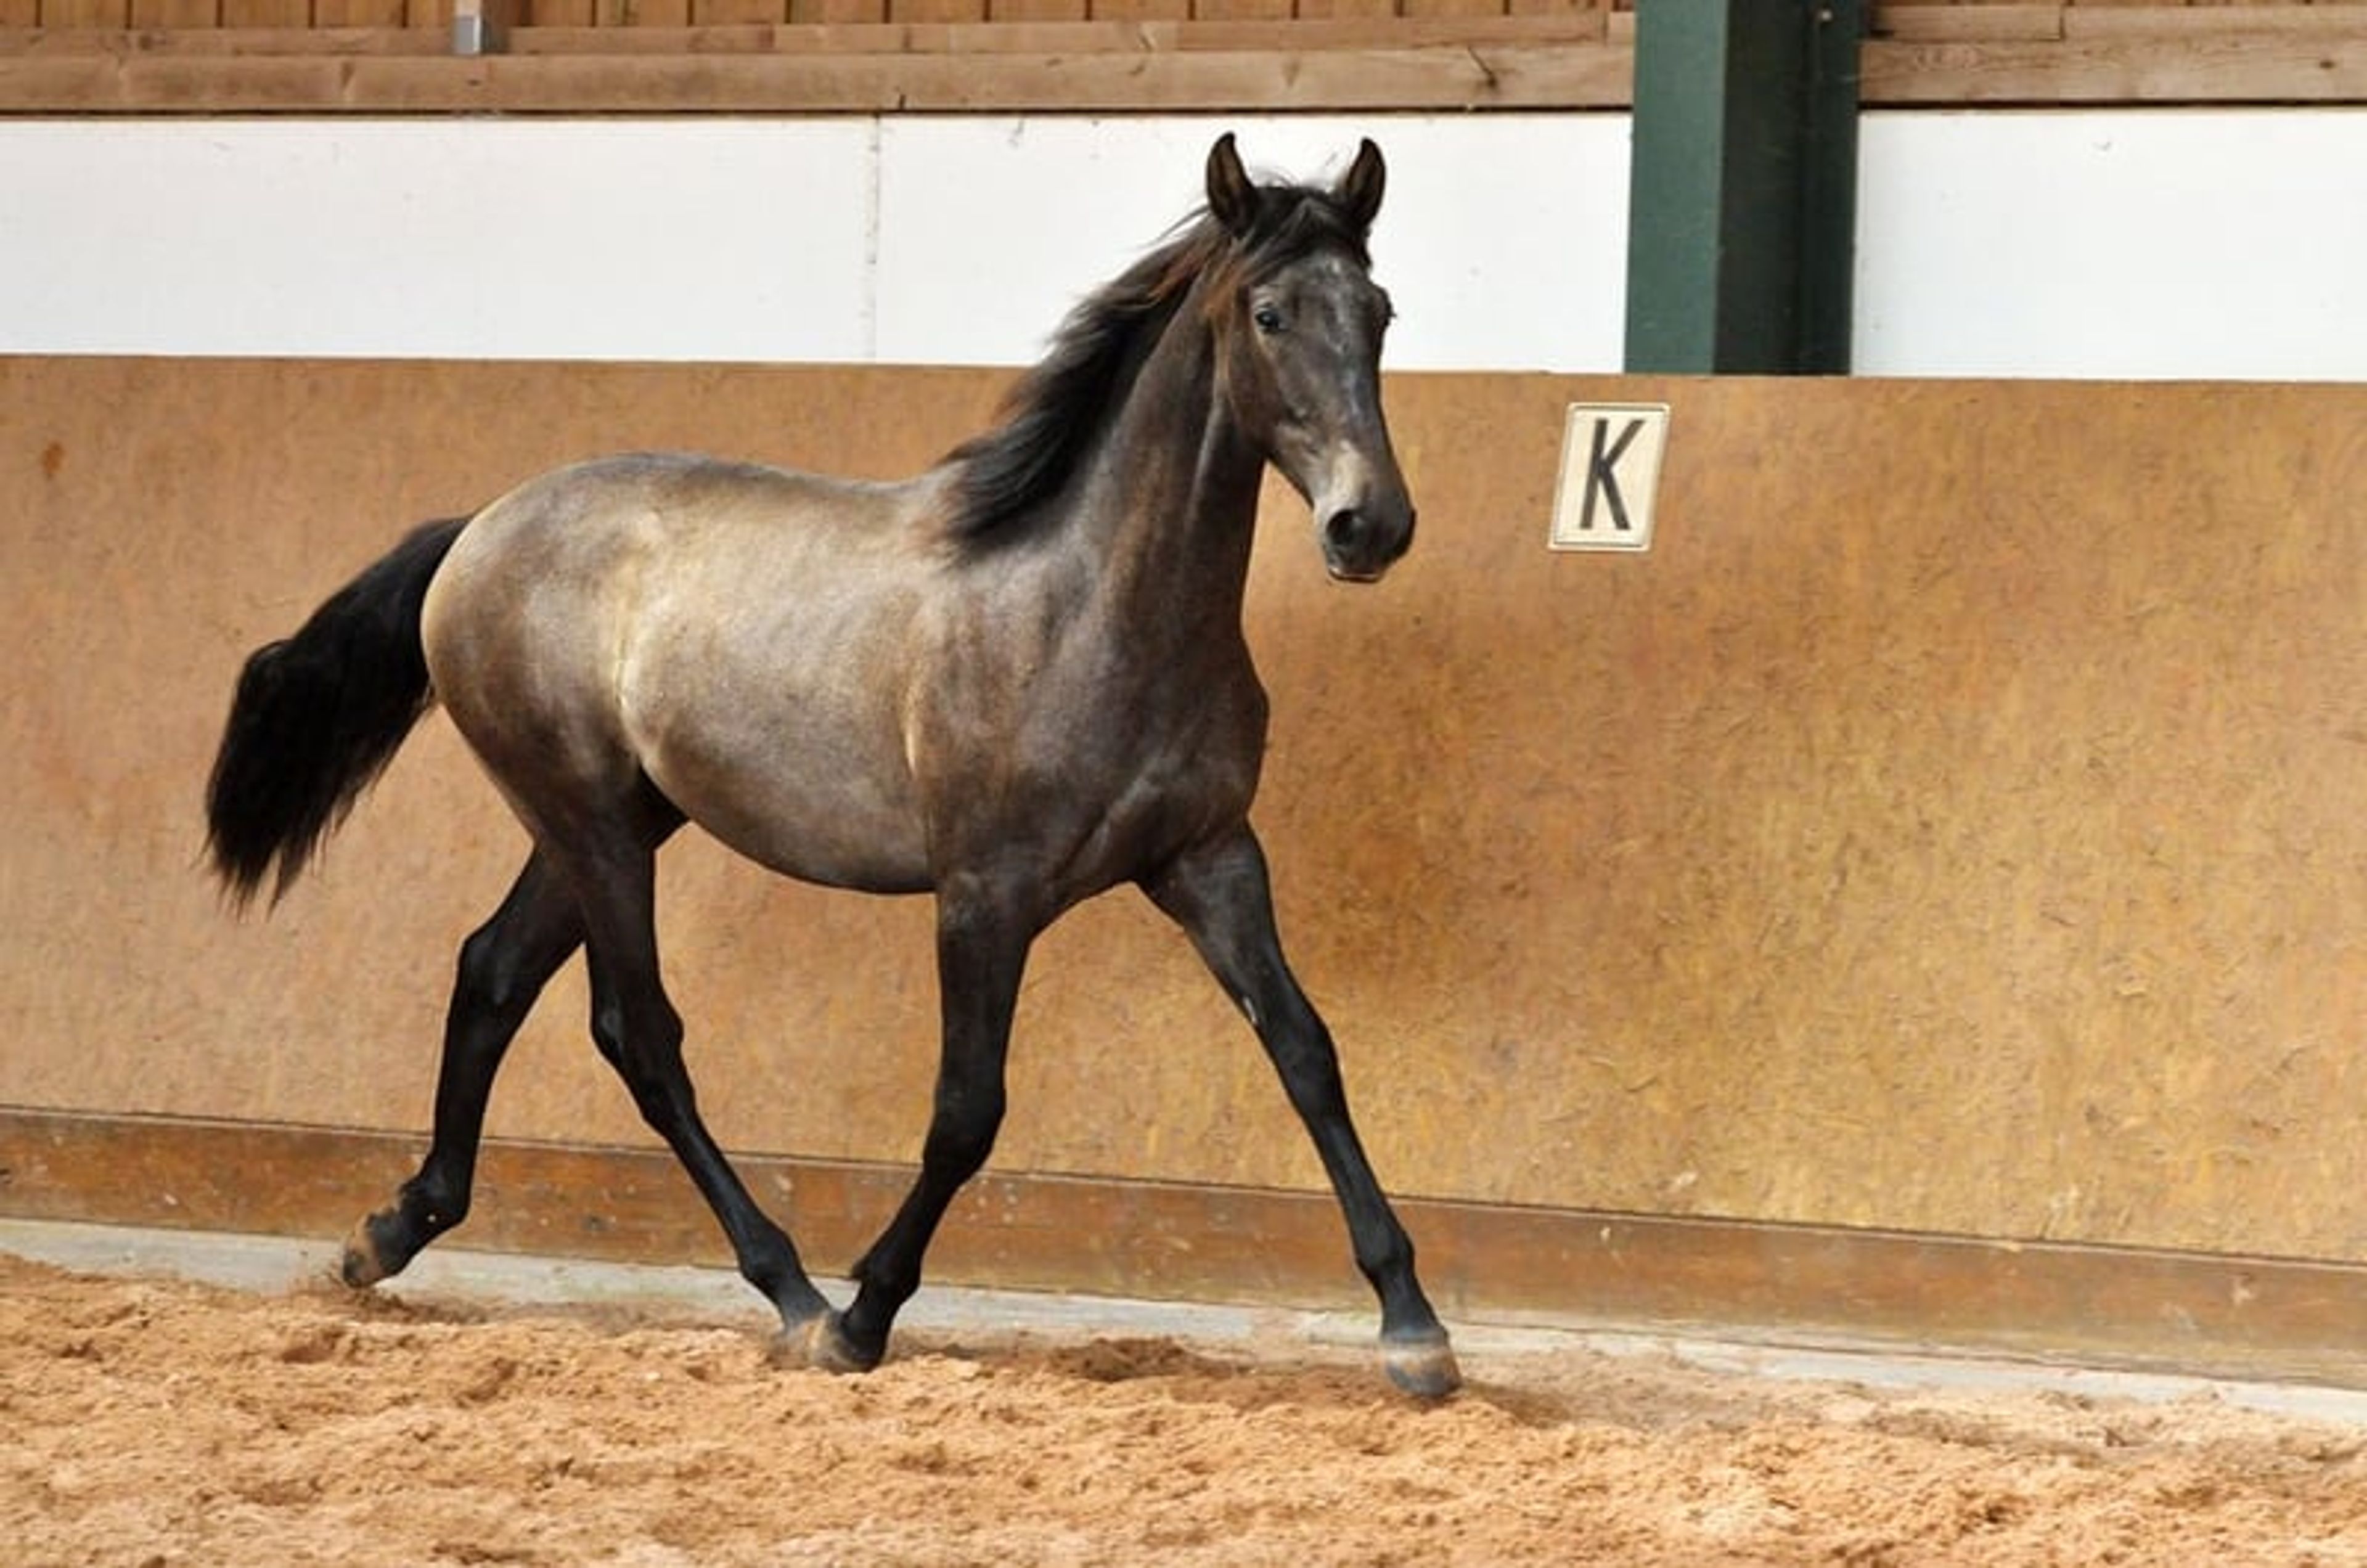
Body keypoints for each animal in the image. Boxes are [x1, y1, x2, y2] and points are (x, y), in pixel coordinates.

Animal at [203, 133, 1459, 1399]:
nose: (1370, 526)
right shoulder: (987, 893)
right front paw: (866, 1314)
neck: (1090, 608)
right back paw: (794, 1294)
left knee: (493, 971)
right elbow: (966, 1110)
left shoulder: (1209, 858)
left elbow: (1306, 1053)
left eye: (1380, 310)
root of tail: (479, 530)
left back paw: (388, 1232)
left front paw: (1414, 1327)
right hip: (589, 823)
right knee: (638, 1035)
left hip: (608, 821)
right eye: (1268, 313)